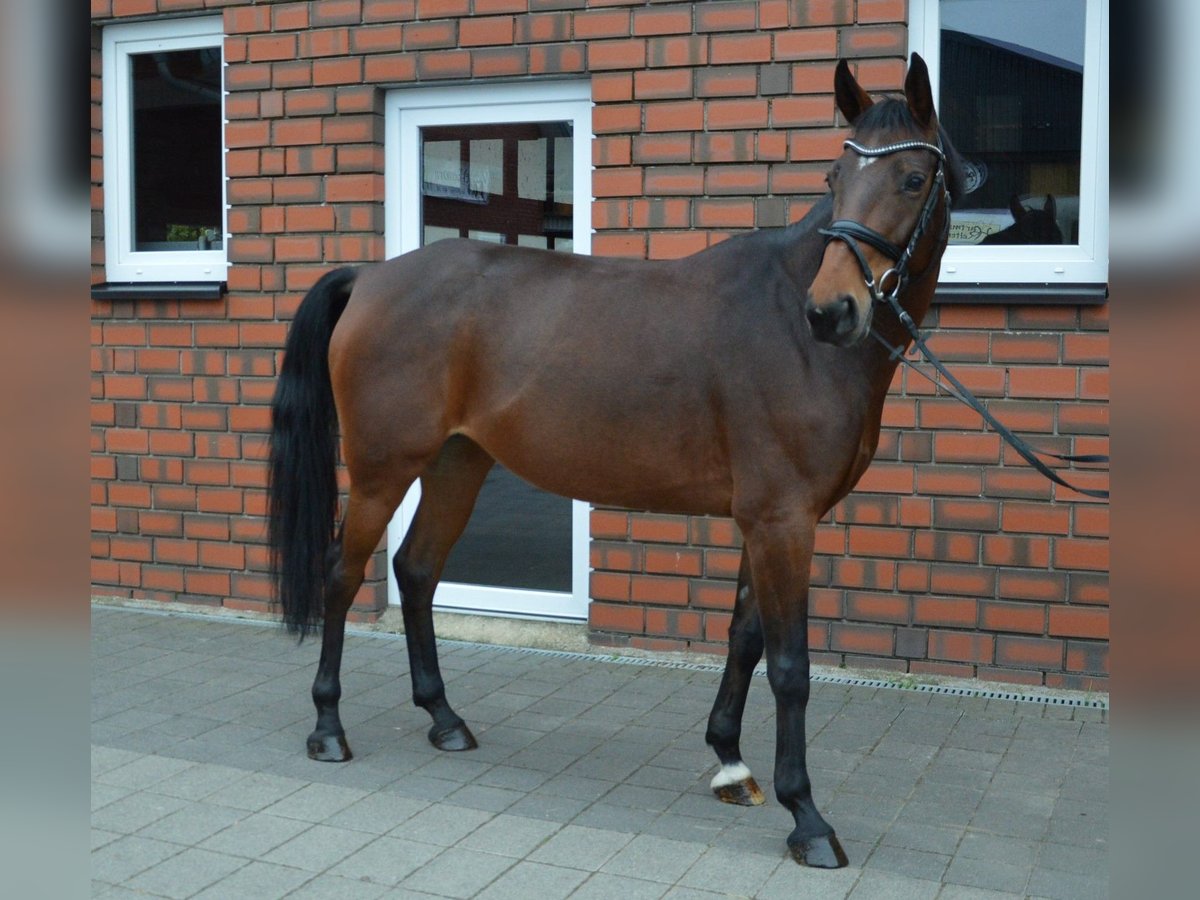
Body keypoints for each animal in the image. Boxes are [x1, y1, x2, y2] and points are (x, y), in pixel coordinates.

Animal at [270, 54, 964, 868]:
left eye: (912, 179)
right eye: (833, 175)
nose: (832, 312)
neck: (789, 327)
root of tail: (370, 279)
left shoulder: (767, 520)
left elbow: (746, 638)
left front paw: (730, 763)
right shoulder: (783, 521)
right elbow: (791, 667)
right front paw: (808, 818)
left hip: (457, 464)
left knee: (416, 571)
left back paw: (445, 719)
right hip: (384, 470)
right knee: (342, 577)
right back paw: (328, 729)